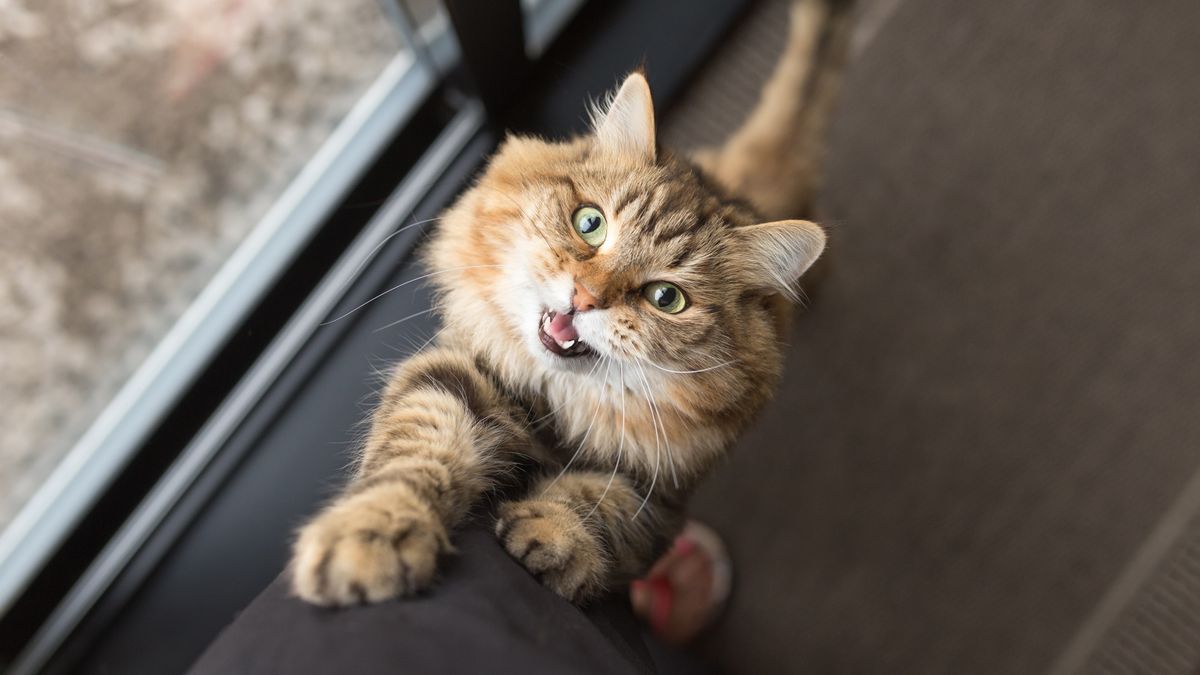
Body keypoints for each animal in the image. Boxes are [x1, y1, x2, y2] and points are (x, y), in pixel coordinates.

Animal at [291, 0, 849, 605]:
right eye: (590, 223)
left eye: (667, 298)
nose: (586, 297)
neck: (554, 410)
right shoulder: (457, 373)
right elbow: (418, 449)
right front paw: (373, 536)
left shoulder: (659, 495)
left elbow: (596, 504)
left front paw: (550, 534)